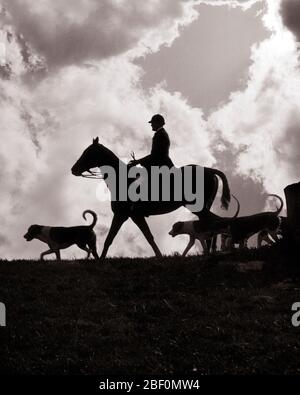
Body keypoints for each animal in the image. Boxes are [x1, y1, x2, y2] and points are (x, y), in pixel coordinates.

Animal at [71, 137, 231, 260]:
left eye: (88, 152)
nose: (73, 170)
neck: (122, 179)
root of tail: (209, 170)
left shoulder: (122, 215)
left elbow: (110, 238)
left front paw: (101, 260)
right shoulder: (134, 216)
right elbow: (147, 237)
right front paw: (159, 256)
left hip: (197, 207)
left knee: (213, 221)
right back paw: (210, 250)